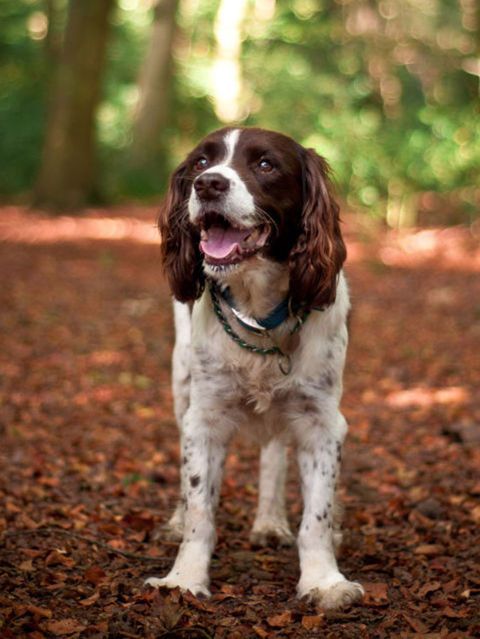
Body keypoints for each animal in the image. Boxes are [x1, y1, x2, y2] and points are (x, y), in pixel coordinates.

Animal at [146, 127, 364, 612]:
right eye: (200, 162)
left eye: (265, 165)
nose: (208, 184)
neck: (260, 313)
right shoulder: (204, 417)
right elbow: (200, 507)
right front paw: (183, 579)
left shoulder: (321, 421)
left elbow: (316, 515)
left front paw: (323, 580)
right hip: (181, 385)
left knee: (274, 456)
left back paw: (270, 521)